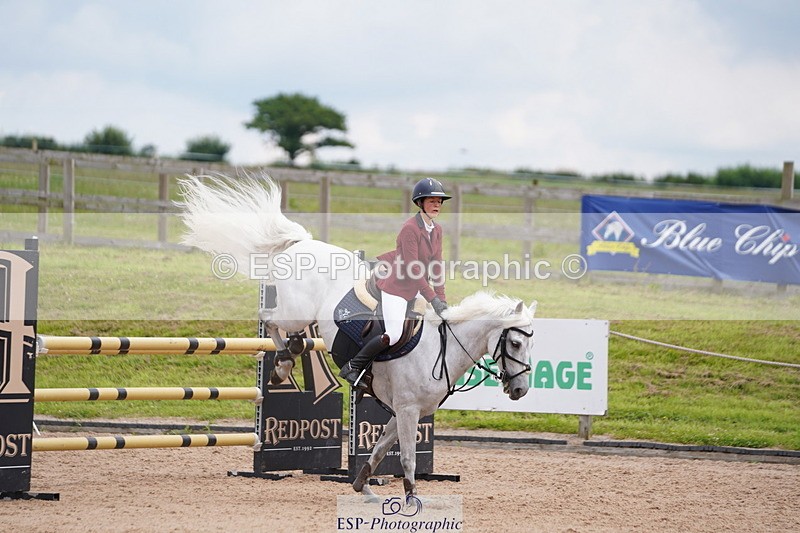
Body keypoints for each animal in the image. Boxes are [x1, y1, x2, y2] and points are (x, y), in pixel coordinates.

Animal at [177, 173, 537, 499]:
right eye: (515, 342)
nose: (521, 390)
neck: (441, 350)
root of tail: (302, 242)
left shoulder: (403, 412)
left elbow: (379, 449)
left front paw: (362, 484)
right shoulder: (408, 410)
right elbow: (407, 458)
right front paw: (411, 498)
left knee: (285, 329)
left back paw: (291, 351)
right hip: (295, 310)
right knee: (269, 319)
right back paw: (283, 363)